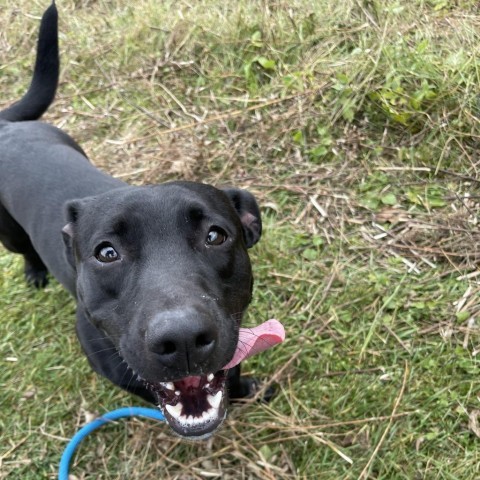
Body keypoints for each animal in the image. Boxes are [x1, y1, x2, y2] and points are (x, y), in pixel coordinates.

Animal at [0, 3, 284, 438]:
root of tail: (6, 126)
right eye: (106, 253)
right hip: (9, 233)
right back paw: (34, 271)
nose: (182, 339)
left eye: (215, 236)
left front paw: (243, 389)